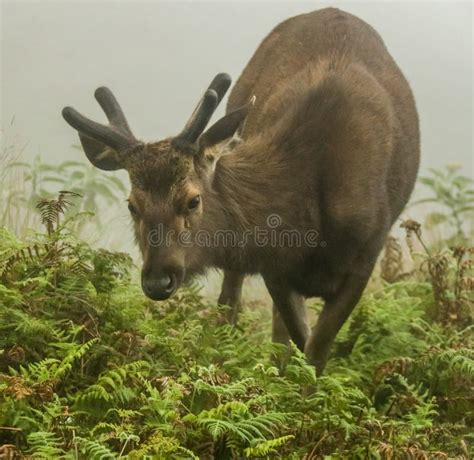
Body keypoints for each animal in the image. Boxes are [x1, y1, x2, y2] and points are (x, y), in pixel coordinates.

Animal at [62, 8, 418, 374]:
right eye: (133, 205)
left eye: (193, 200)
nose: (158, 281)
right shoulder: (275, 266)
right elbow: (295, 339)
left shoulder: (367, 256)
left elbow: (315, 352)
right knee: (231, 304)